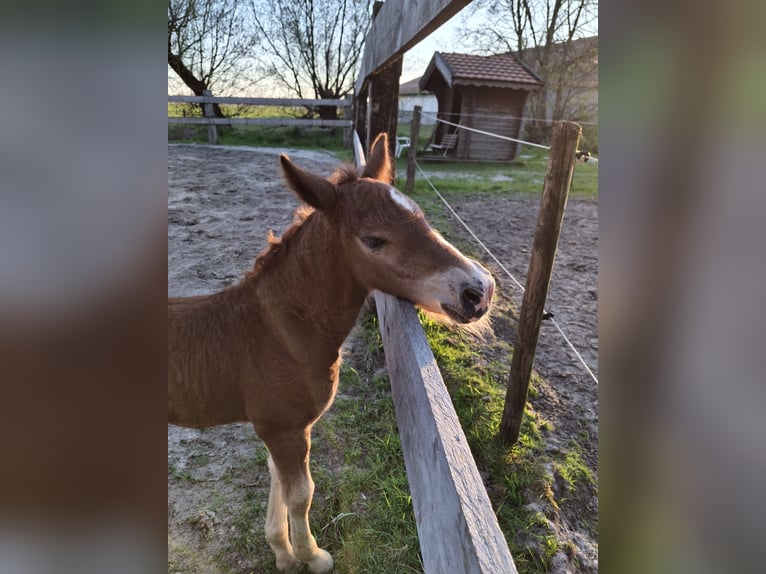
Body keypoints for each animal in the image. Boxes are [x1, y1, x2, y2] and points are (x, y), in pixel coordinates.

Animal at [168, 133, 495, 573]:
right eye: (374, 240)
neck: (278, 333)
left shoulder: (279, 429)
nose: (479, 290)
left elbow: (278, 481)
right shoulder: (284, 427)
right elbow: (300, 493)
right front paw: (313, 557)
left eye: (421, 216)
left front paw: (283, 554)